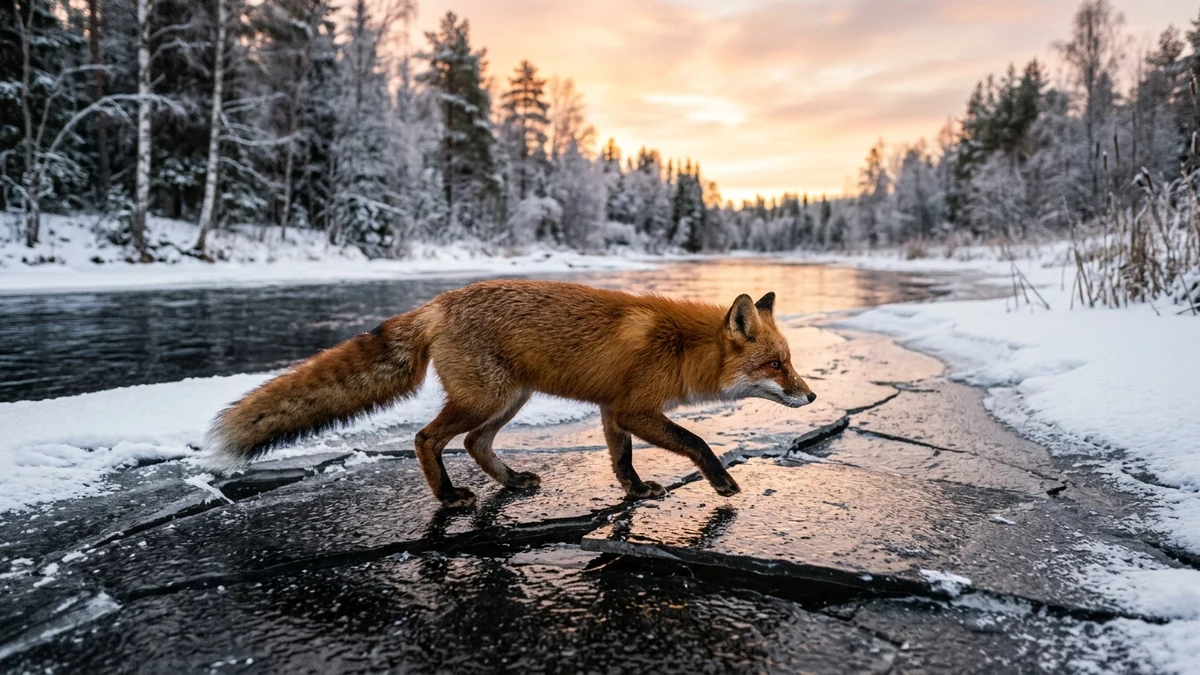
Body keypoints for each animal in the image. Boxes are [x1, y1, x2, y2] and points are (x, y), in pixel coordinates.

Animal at [205, 280, 816, 507]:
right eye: (777, 365)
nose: (811, 397)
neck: (682, 346)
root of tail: (439, 303)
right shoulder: (635, 408)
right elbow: (697, 442)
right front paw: (722, 483)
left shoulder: (612, 409)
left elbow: (621, 461)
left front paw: (637, 492)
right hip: (487, 399)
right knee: (426, 438)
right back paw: (448, 496)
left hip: (508, 401)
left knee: (474, 444)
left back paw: (510, 482)